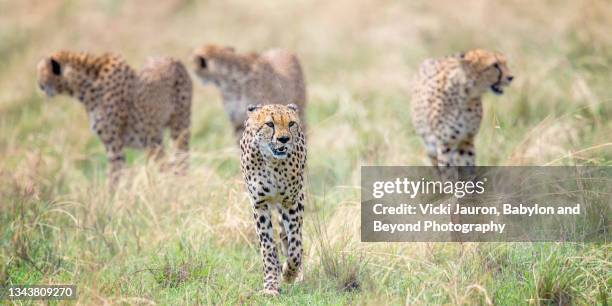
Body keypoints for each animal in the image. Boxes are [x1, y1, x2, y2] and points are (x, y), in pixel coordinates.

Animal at [37, 51, 192, 188]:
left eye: (41, 72)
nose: (39, 84)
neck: (83, 89)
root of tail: (173, 59)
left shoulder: (114, 145)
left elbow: (114, 176)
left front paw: (110, 200)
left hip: (179, 129)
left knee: (181, 160)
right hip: (154, 138)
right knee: (167, 163)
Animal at [239, 103, 306, 296]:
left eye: (291, 123)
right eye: (270, 124)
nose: (283, 139)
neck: (273, 162)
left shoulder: (290, 202)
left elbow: (295, 246)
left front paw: (289, 274)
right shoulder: (259, 205)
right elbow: (268, 247)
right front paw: (270, 286)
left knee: (290, 238)